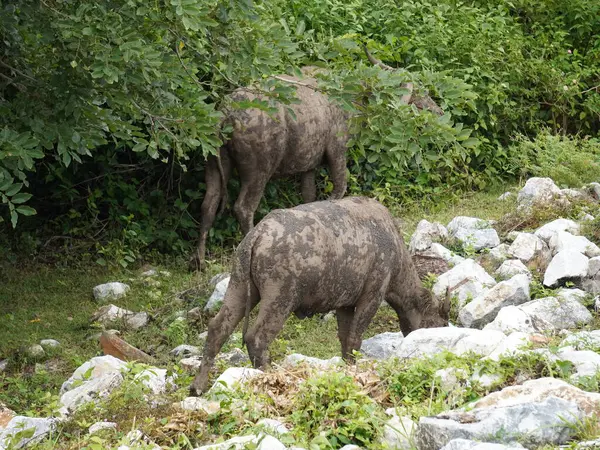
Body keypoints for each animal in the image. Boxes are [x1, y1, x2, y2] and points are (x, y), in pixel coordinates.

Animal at [190, 197, 448, 394]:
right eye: (440, 323)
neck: (394, 251)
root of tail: (257, 235)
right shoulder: (372, 295)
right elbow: (355, 339)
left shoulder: (345, 304)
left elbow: (345, 341)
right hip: (280, 298)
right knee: (257, 337)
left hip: (239, 287)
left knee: (217, 329)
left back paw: (197, 387)